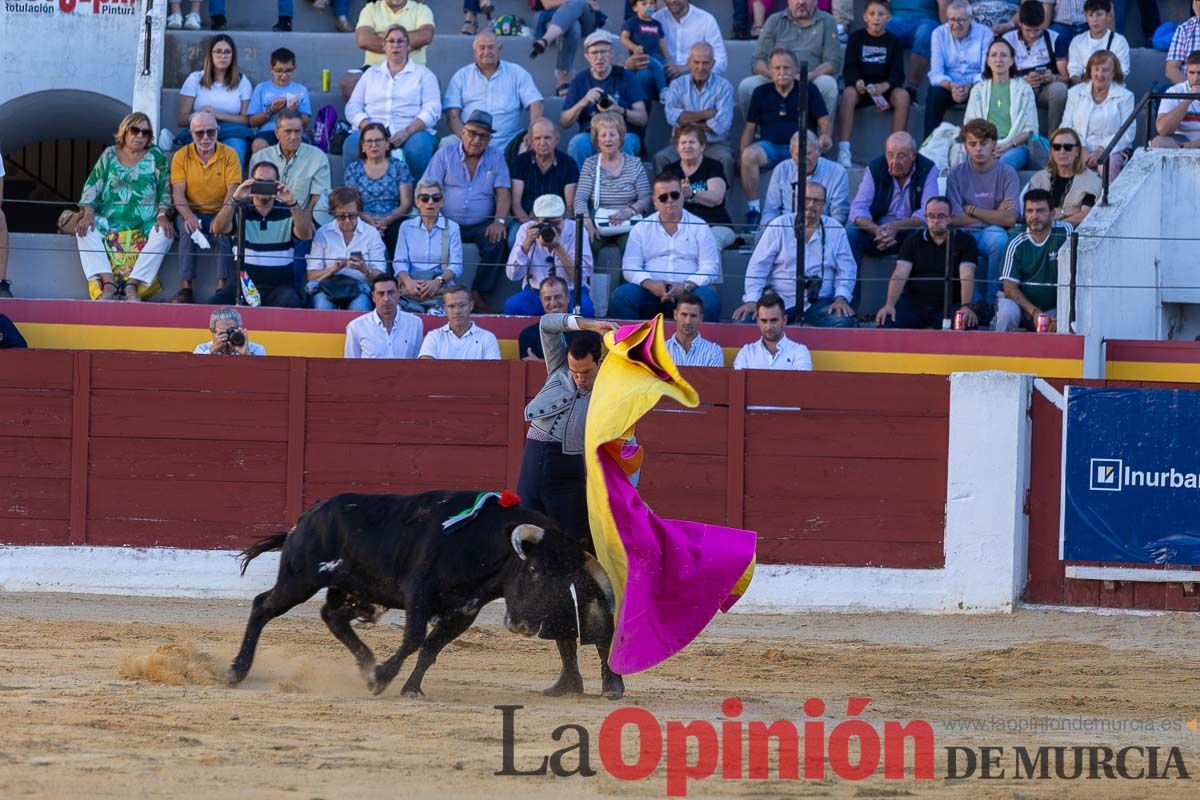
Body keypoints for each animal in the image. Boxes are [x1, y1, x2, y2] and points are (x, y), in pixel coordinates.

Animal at [226, 491, 628, 695]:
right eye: (532, 569)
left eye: (564, 581)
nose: (522, 626)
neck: (481, 543)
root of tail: (306, 517)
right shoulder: (419, 592)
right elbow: (415, 638)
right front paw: (382, 679)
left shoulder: (464, 611)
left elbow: (431, 647)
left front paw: (407, 686)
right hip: (300, 580)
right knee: (262, 607)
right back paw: (236, 671)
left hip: (350, 588)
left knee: (332, 617)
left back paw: (365, 661)